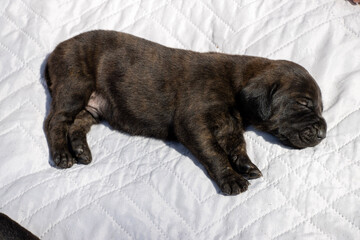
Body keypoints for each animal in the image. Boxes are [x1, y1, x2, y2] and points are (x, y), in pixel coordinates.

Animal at [44, 30, 326, 195]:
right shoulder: (194, 122)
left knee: (77, 124)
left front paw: (246, 165)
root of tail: (55, 49)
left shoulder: (231, 126)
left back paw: (81, 150)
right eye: (304, 104)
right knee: (56, 121)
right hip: (75, 83)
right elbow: (215, 153)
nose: (323, 133)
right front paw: (232, 179)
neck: (236, 83)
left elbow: (237, 146)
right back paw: (62, 155)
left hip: (93, 106)